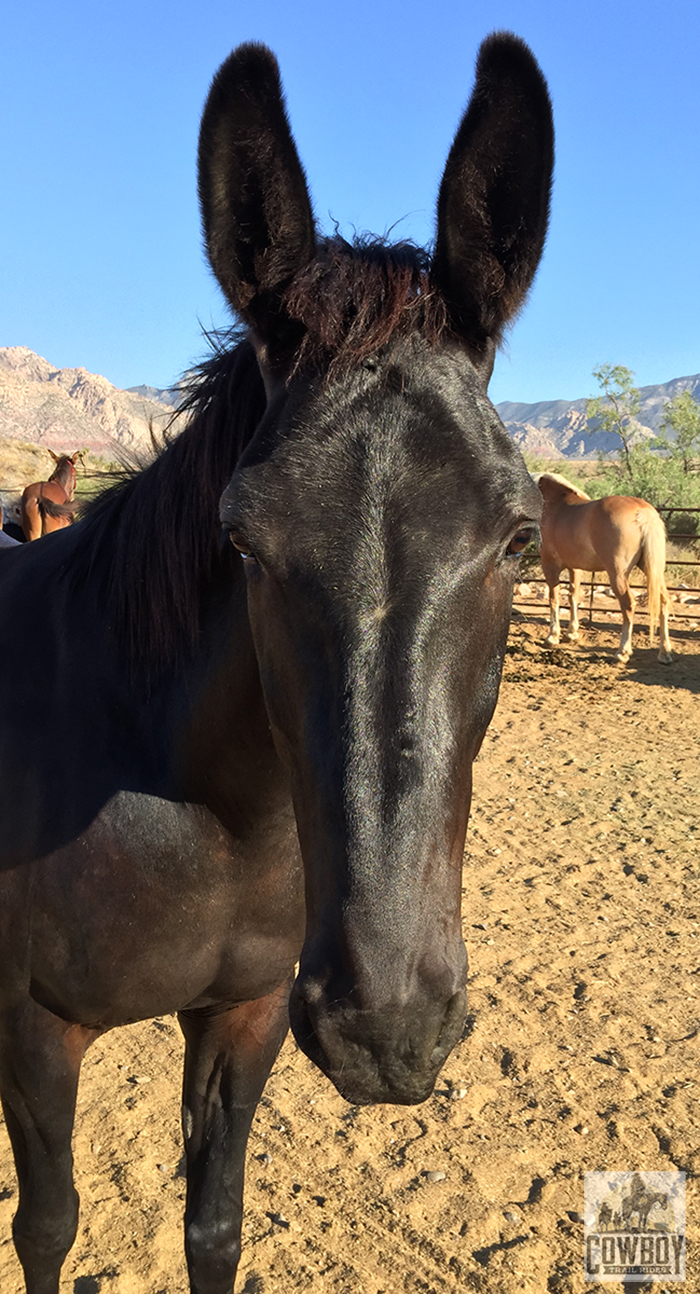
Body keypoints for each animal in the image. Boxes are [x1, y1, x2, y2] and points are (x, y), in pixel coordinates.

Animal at [0, 37, 553, 1294]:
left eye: (518, 536)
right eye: (243, 538)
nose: (386, 1030)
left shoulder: (244, 1017)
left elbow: (214, 1226)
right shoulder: (33, 1029)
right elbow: (47, 1226)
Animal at [535, 471, 672, 662]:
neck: (554, 505)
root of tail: (641, 512)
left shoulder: (549, 565)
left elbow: (554, 599)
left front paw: (552, 637)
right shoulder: (575, 568)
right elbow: (573, 597)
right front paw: (571, 634)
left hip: (618, 575)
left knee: (628, 605)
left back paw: (622, 652)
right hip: (653, 571)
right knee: (664, 601)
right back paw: (665, 652)